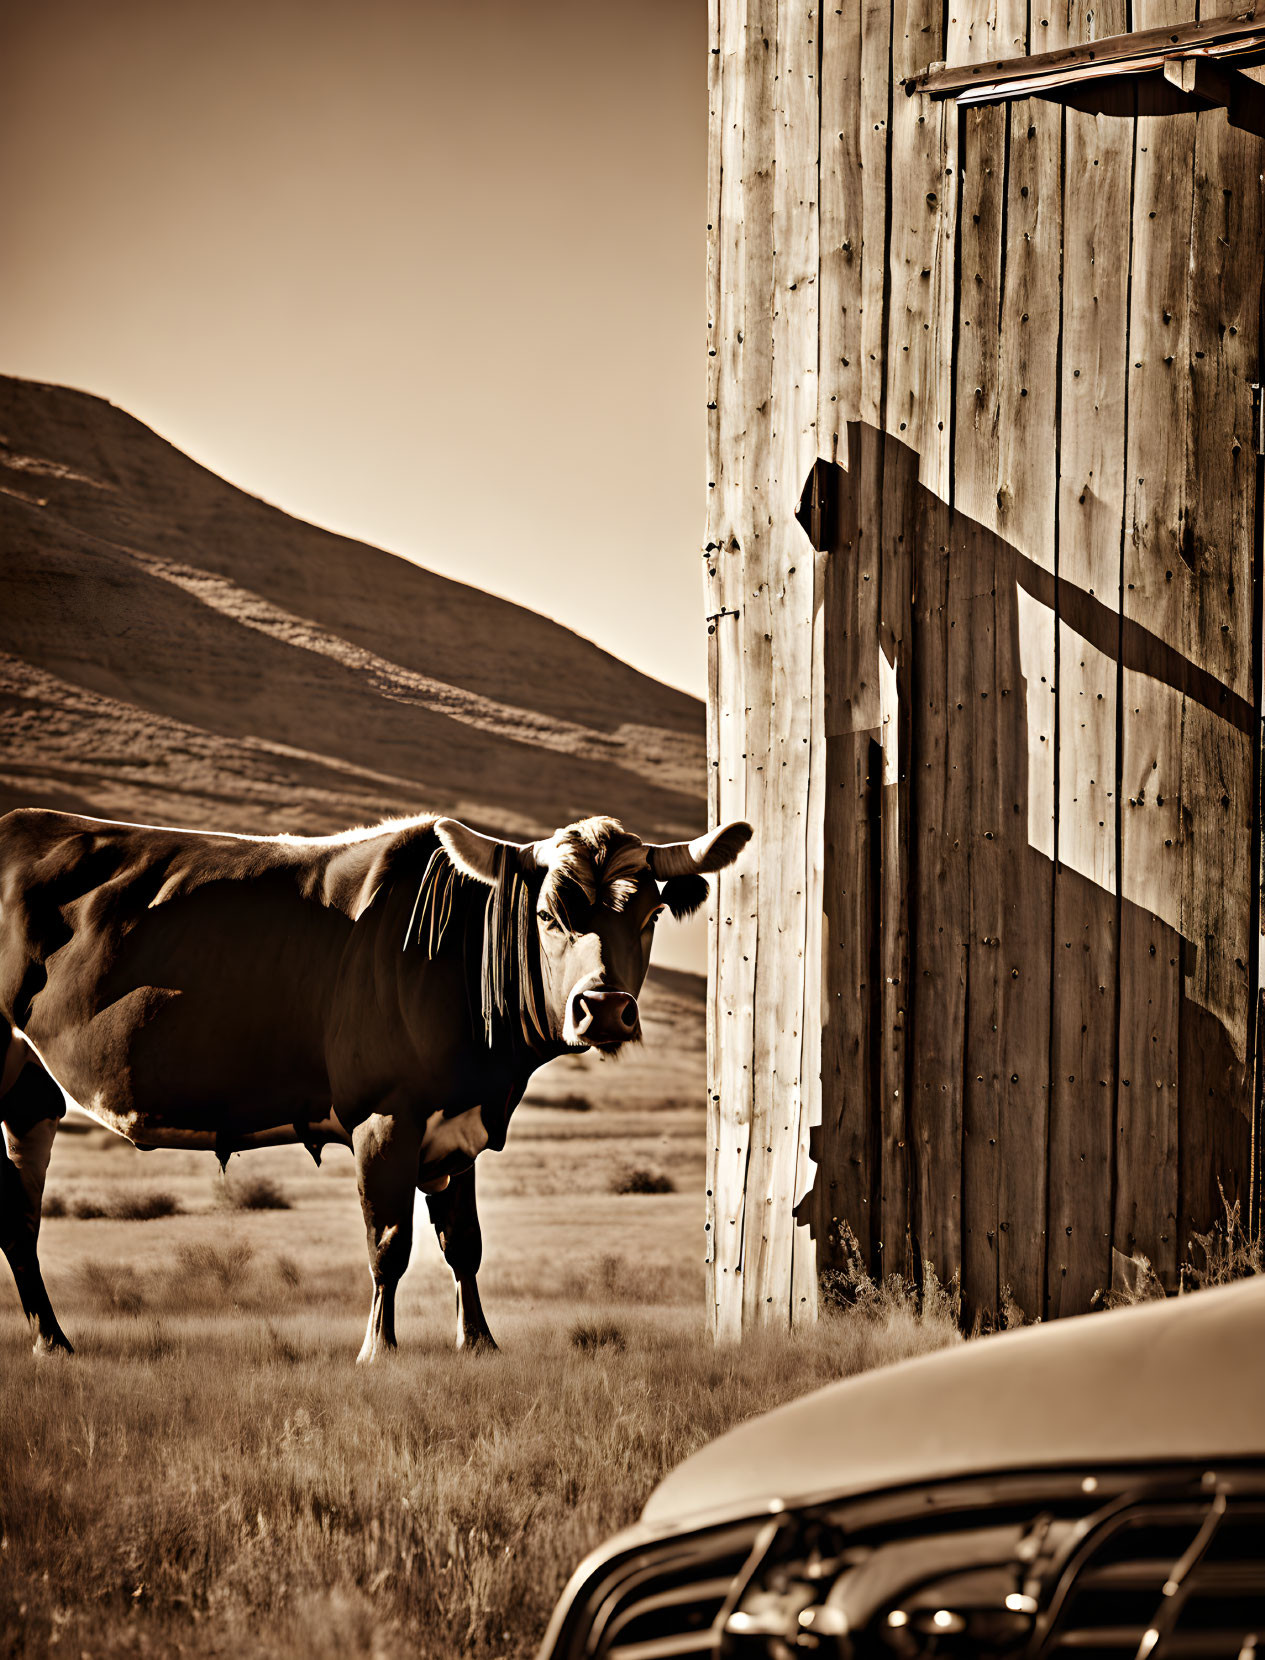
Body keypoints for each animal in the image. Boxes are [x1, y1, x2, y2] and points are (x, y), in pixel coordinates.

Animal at [0, 803, 750, 1361]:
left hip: (29, 1097)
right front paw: (378, 1350)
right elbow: (388, 1242)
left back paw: (52, 1341)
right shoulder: (386, 1115)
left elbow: (463, 1243)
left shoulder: (457, 1123)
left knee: (19, 1219)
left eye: (650, 915)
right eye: (545, 916)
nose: (604, 1008)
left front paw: (478, 1343)